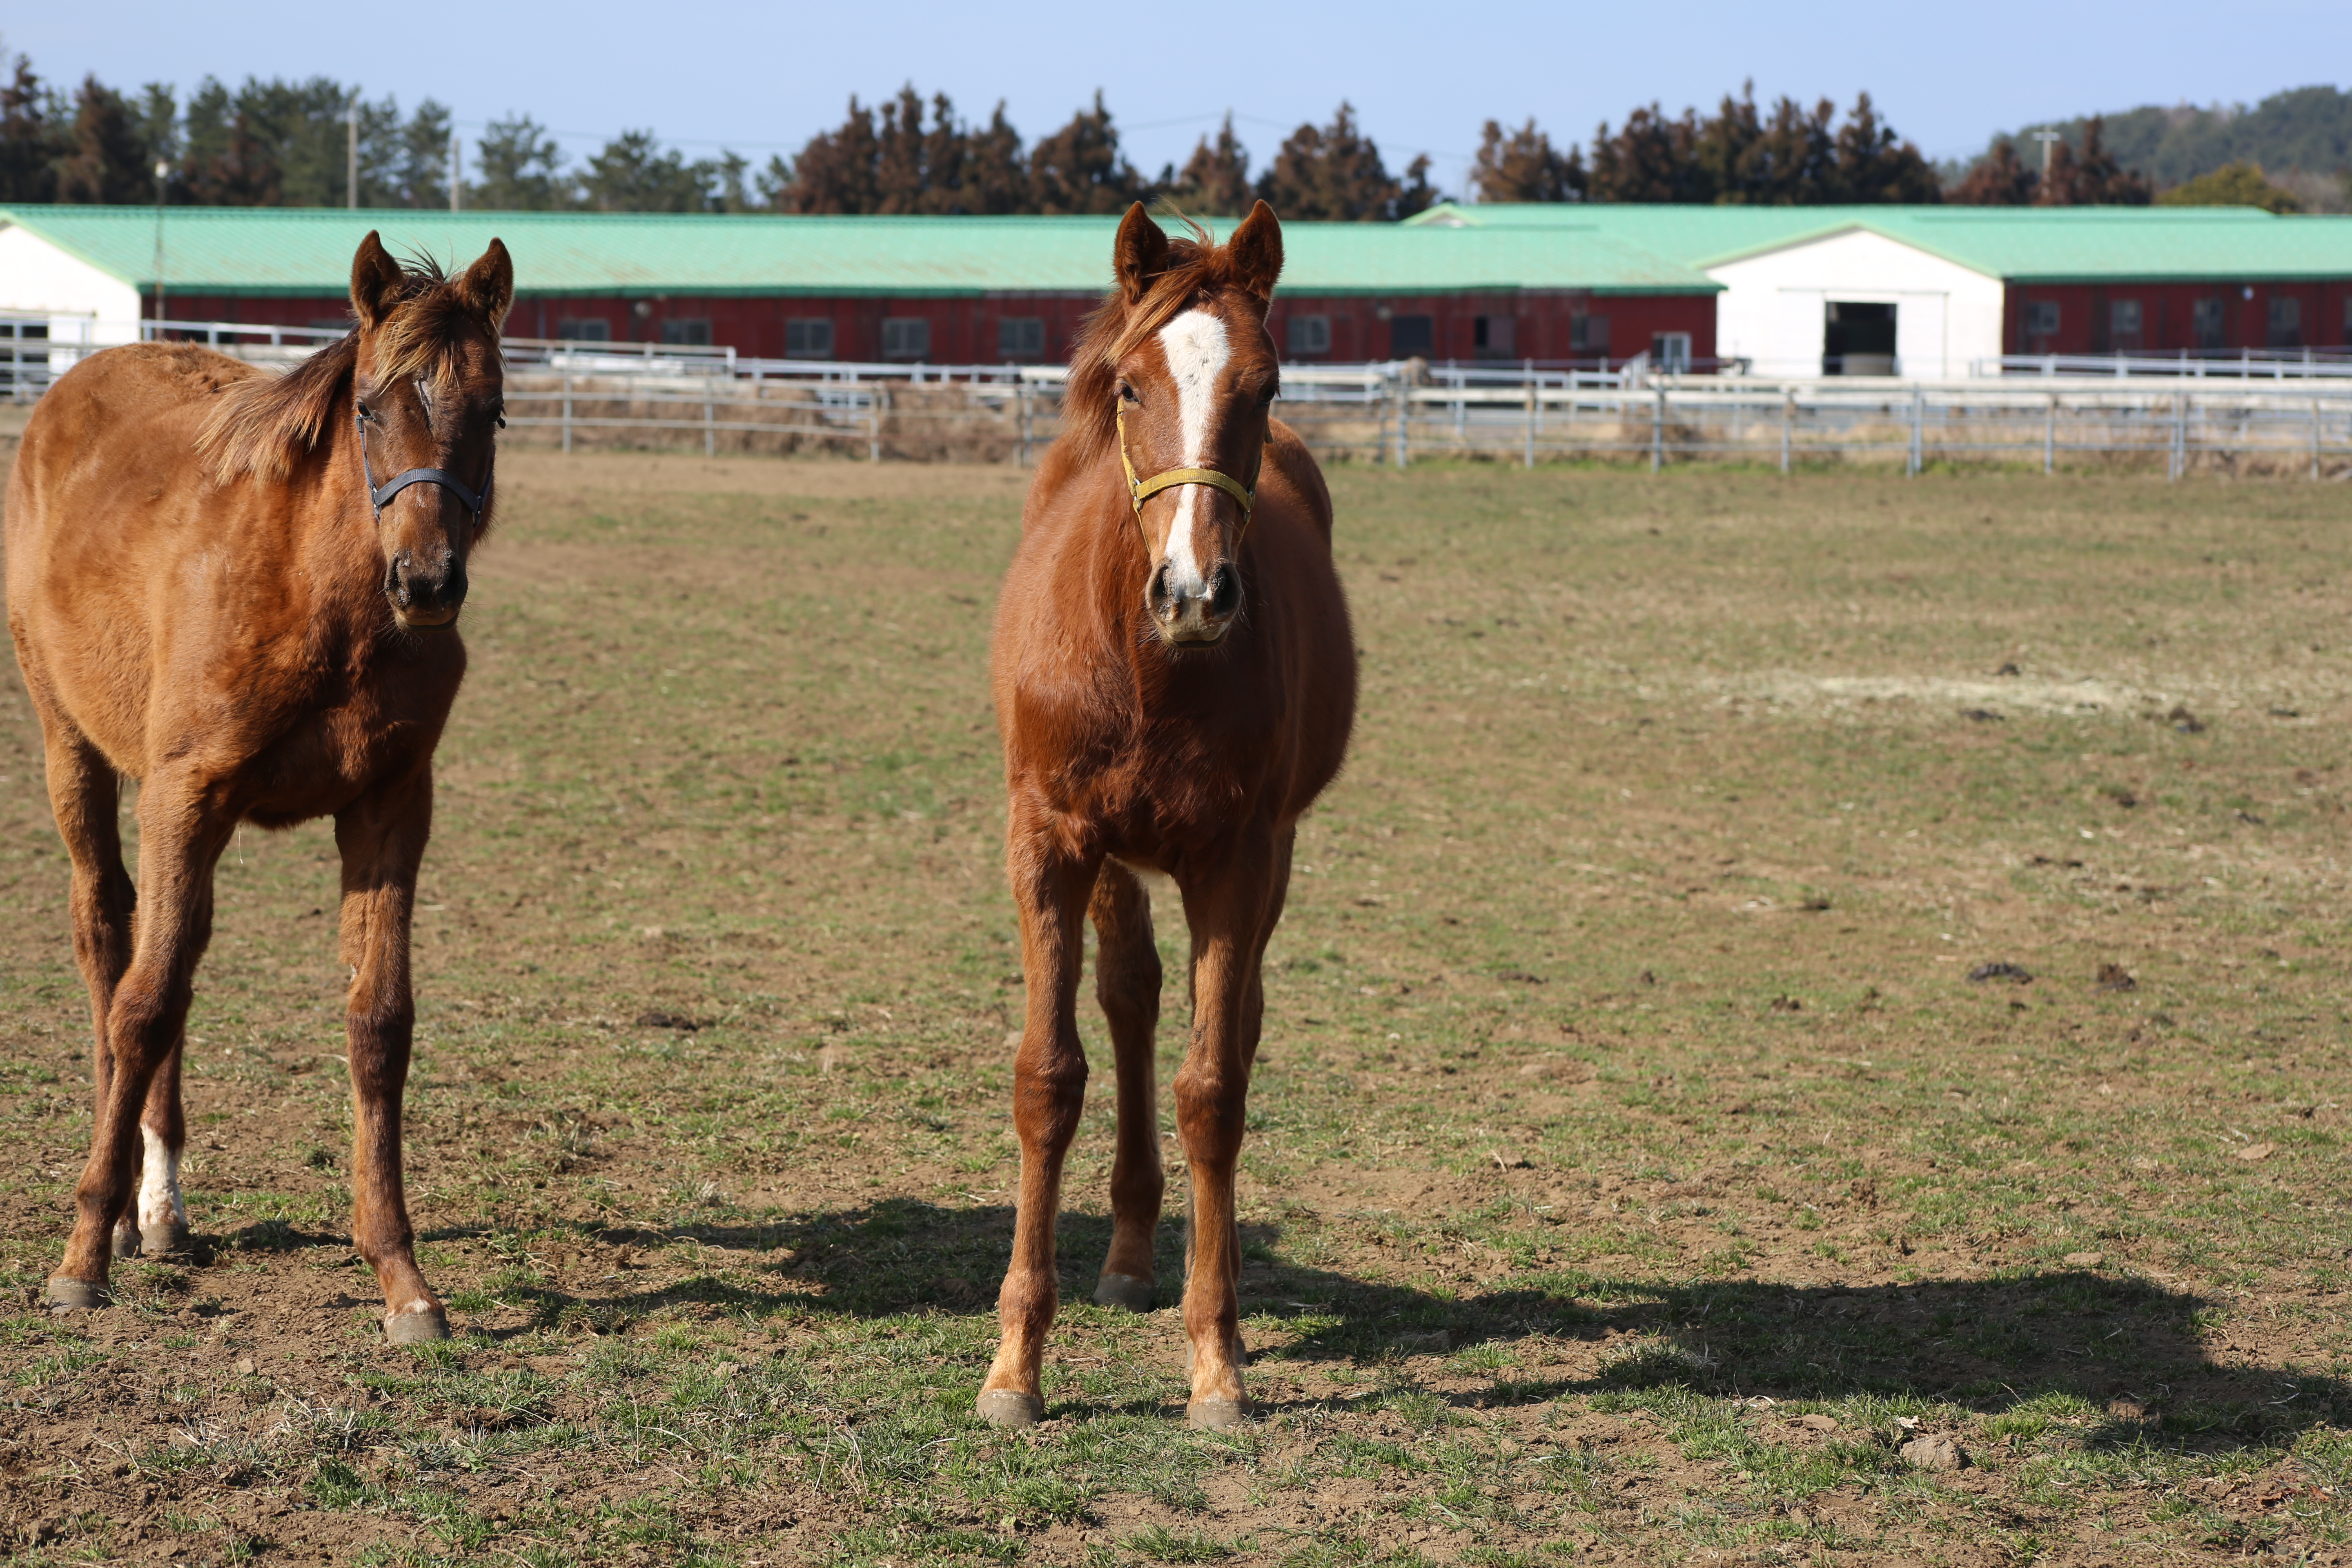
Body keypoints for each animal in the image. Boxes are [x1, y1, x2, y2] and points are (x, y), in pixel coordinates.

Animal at [9, 236, 508, 1354]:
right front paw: (81, 1254)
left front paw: (401, 1276)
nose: (426, 582)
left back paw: (162, 1209)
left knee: (175, 958)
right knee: (110, 942)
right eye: (369, 407)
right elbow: (142, 1004)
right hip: (77, 751)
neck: (319, 595)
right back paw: (128, 1209)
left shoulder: (389, 807)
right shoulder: (184, 795)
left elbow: (379, 1023)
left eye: (493, 411)